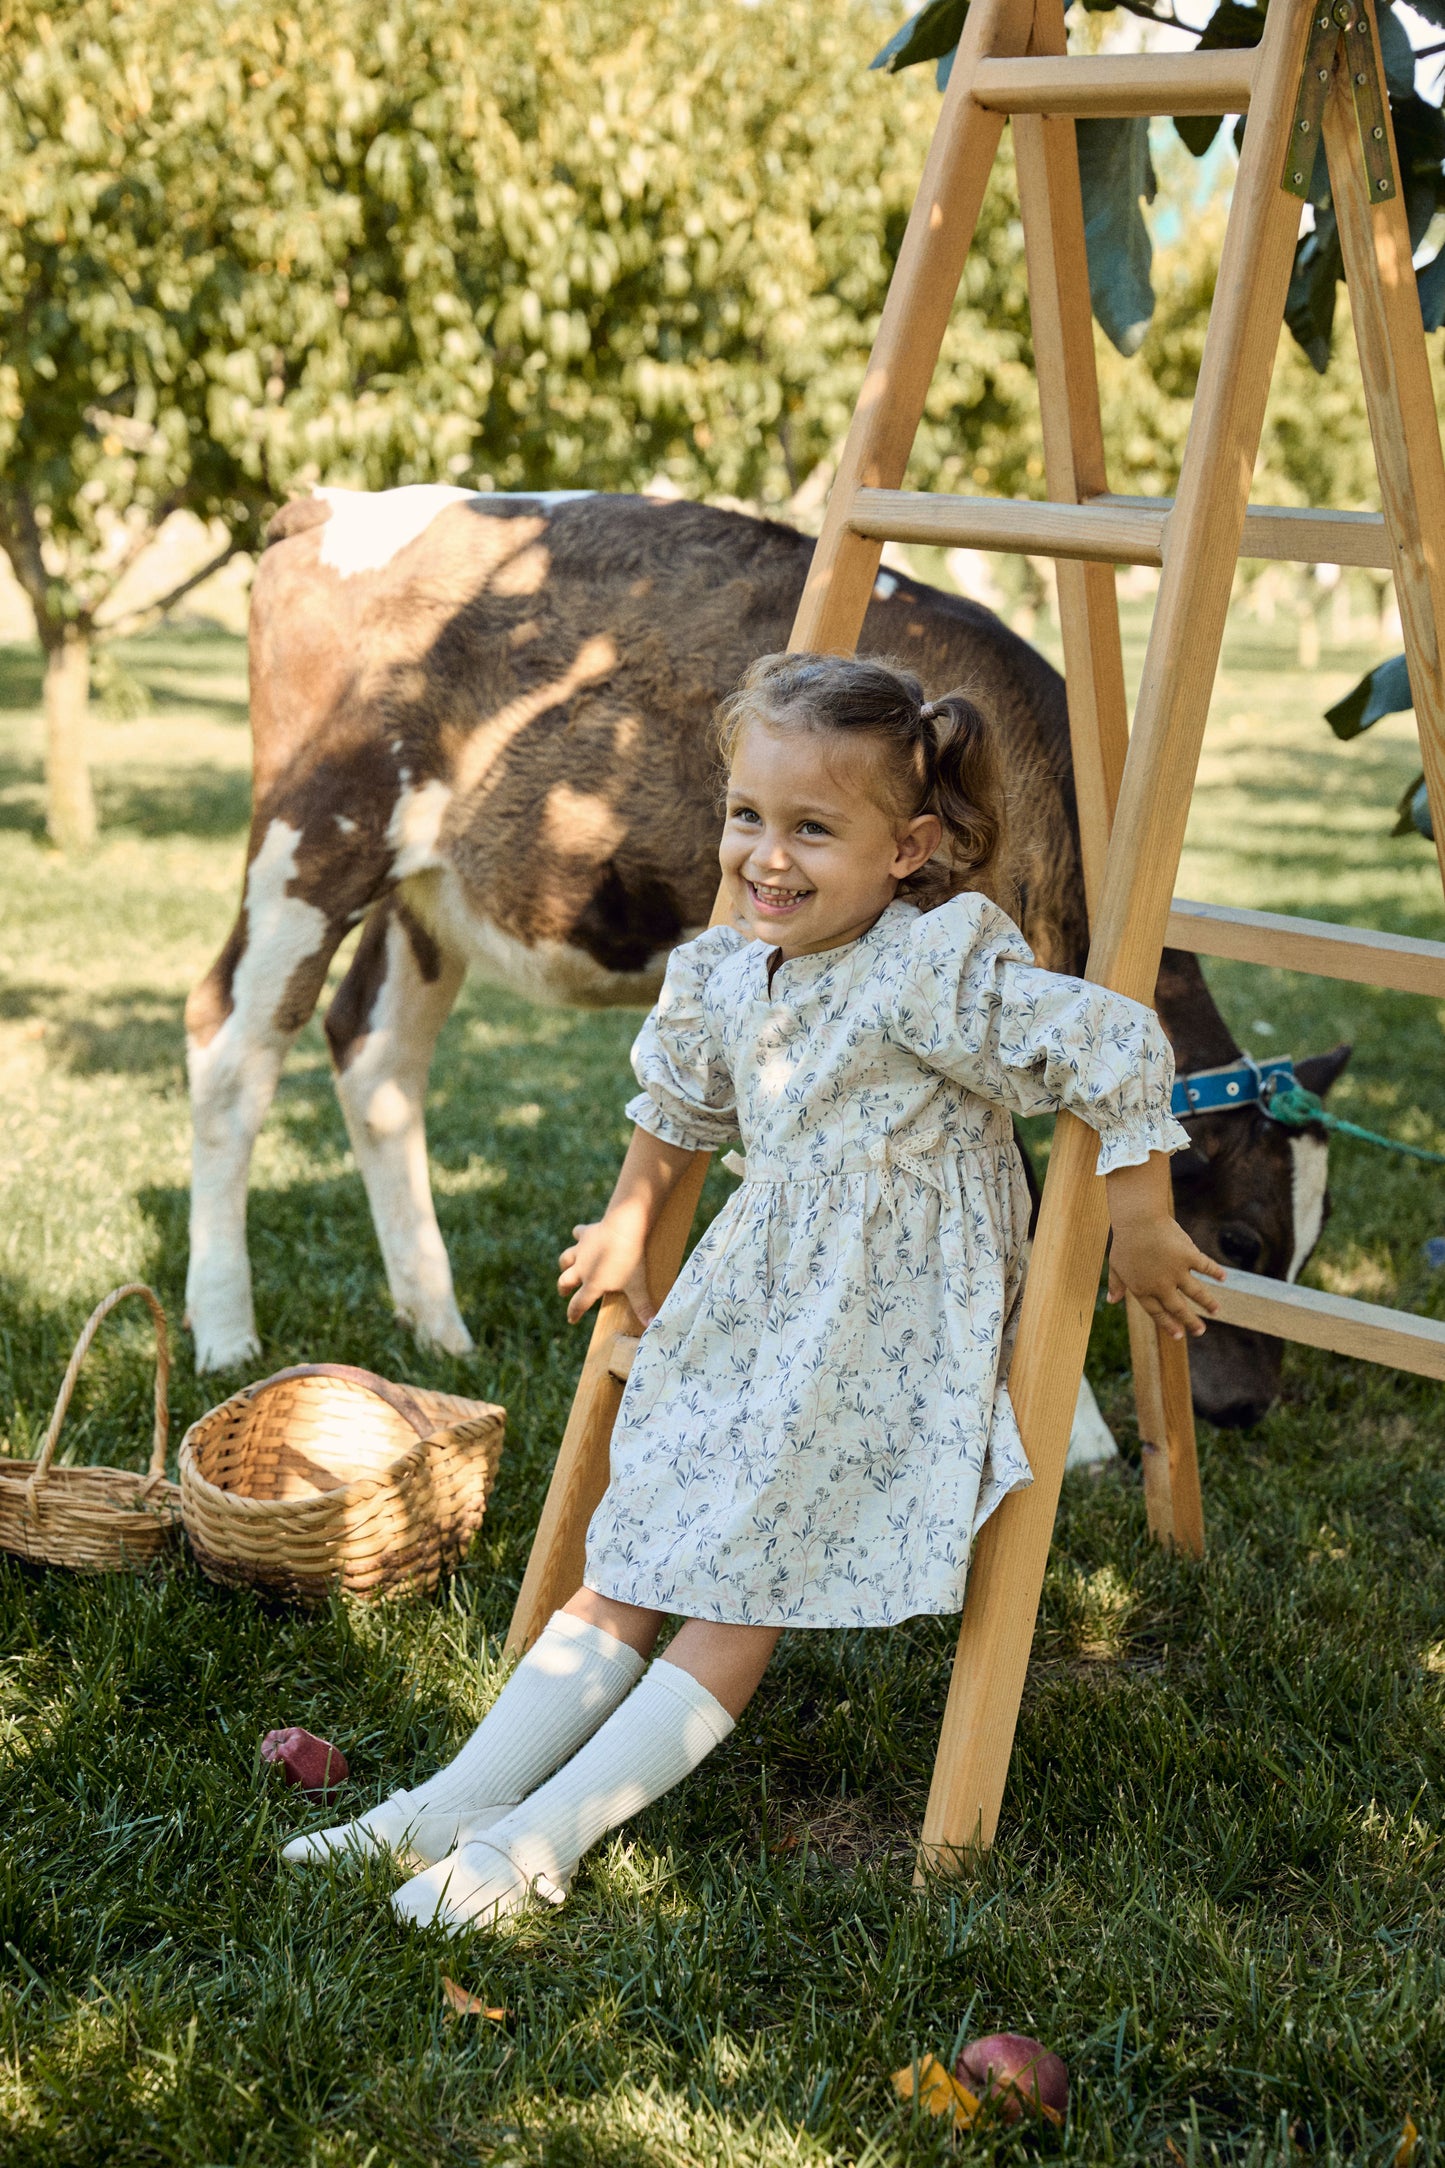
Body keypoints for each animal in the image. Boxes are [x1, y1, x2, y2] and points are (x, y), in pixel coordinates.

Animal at [186, 485, 1351, 1422]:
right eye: (1239, 1240)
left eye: (1310, 1247)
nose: (1247, 1410)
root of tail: (329, 504)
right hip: (313, 830)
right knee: (232, 1041)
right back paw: (224, 1332)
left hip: (428, 890)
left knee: (374, 1055)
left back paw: (436, 1323)